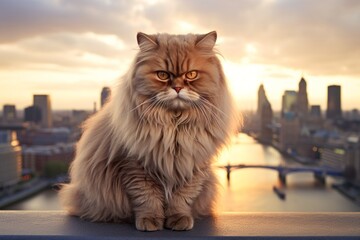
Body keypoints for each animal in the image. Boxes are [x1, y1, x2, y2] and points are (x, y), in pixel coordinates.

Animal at [59, 31, 238, 232]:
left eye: (191, 74)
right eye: (162, 75)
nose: (177, 88)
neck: (174, 126)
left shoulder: (193, 167)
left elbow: (182, 198)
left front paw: (179, 219)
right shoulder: (134, 166)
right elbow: (147, 198)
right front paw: (150, 221)